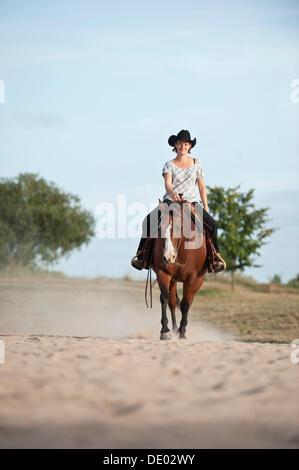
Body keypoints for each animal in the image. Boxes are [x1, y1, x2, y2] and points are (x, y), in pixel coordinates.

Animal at [152, 199, 209, 342]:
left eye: (179, 228)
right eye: (160, 228)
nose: (168, 257)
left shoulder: (194, 278)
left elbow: (185, 304)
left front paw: (182, 332)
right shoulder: (163, 273)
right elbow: (164, 298)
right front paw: (165, 331)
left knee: (186, 302)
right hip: (173, 280)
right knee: (172, 302)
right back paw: (173, 328)